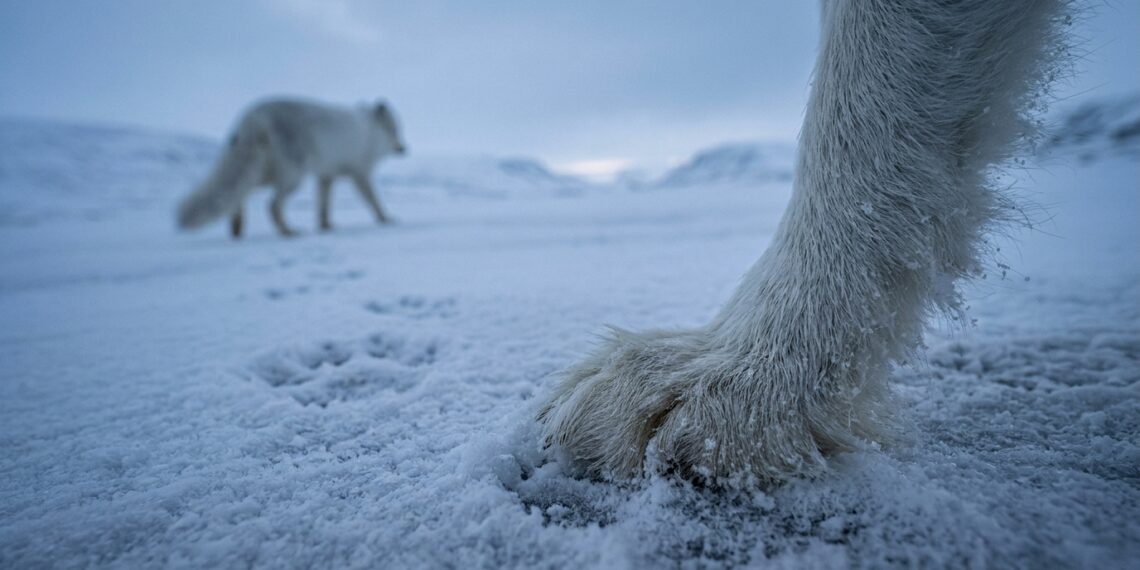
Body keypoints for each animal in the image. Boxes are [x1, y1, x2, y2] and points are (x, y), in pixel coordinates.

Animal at [177, 97, 406, 238]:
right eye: (395, 130)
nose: (404, 148)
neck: (371, 130)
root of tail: (253, 116)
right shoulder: (359, 173)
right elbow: (372, 200)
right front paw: (385, 219)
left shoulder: (326, 176)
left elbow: (323, 205)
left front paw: (325, 226)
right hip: (292, 176)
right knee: (271, 204)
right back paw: (287, 232)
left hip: (264, 174)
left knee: (238, 197)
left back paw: (237, 230)